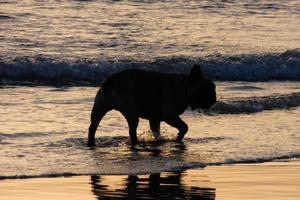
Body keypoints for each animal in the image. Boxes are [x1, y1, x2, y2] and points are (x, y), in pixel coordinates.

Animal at [88, 65, 217, 146]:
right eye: (205, 90)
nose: (214, 98)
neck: (184, 86)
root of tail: (109, 82)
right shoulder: (170, 116)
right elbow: (185, 127)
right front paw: (178, 137)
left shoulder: (155, 119)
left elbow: (156, 131)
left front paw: (159, 140)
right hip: (131, 113)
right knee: (132, 131)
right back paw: (136, 143)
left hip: (99, 108)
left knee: (93, 127)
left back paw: (91, 143)